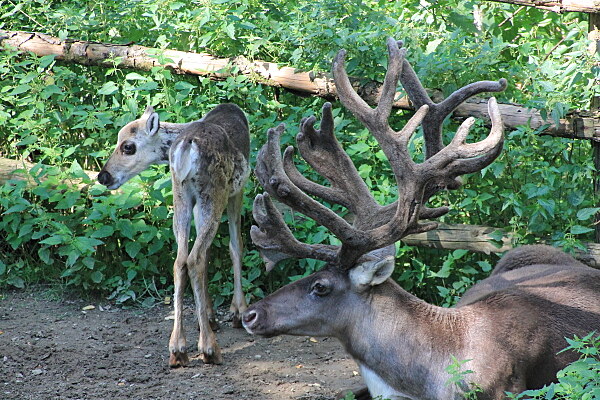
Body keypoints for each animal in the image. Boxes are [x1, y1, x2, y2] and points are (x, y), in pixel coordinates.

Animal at [98, 103, 248, 366]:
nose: (103, 176)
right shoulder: (236, 190)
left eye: (128, 146)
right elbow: (235, 246)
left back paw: (178, 348)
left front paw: (210, 316)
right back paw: (209, 348)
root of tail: (186, 147)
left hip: (181, 196)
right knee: (194, 258)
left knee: (181, 261)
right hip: (213, 193)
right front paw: (238, 311)